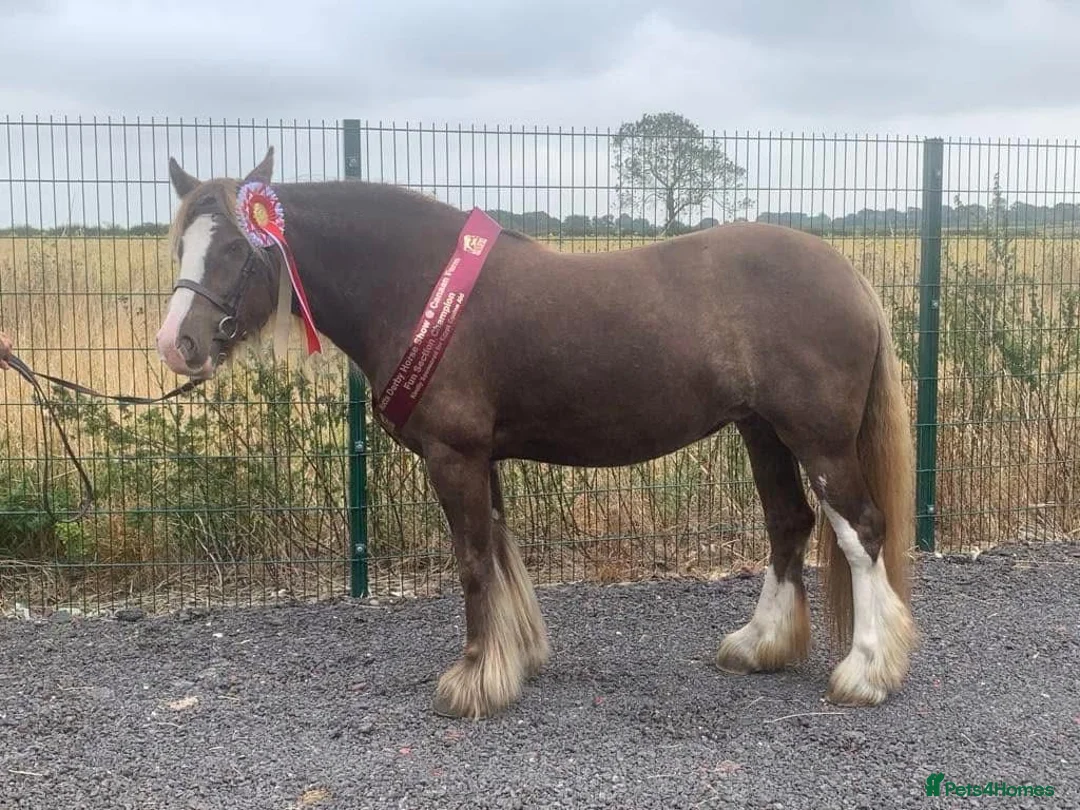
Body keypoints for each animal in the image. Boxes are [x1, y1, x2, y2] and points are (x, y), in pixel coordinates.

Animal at [155, 147, 916, 719]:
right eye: (180, 246)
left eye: (237, 248)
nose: (177, 345)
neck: (420, 287)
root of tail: (848, 275)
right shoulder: (481, 457)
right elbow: (498, 551)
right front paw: (511, 661)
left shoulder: (453, 456)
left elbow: (471, 562)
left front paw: (471, 680)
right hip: (762, 432)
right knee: (789, 523)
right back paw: (759, 646)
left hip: (818, 440)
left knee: (860, 531)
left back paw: (866, 672)